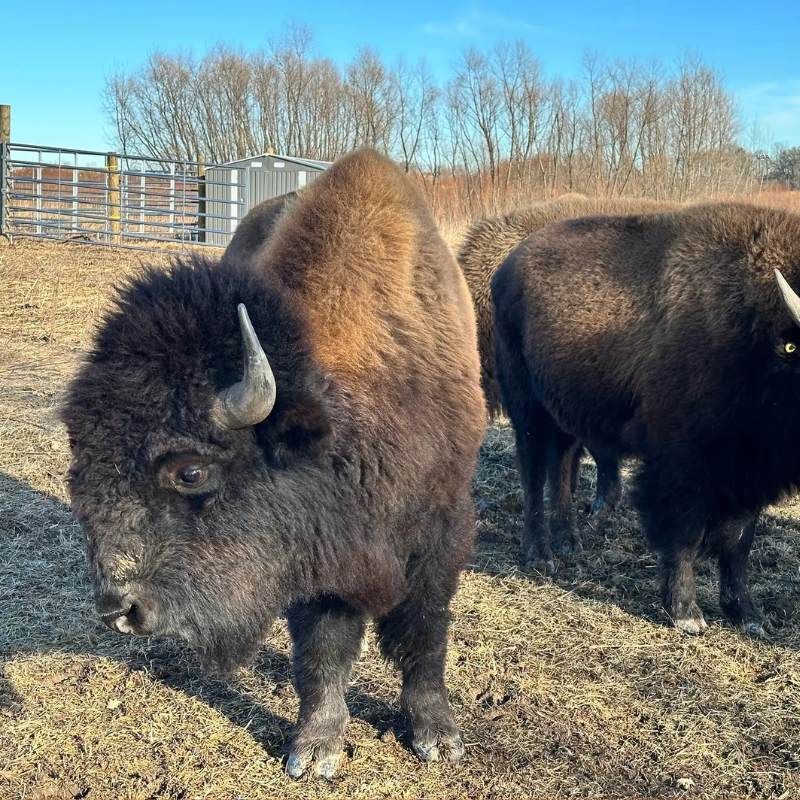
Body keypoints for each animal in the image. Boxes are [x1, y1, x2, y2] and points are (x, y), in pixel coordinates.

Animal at [62, 150, 486, 778]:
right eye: (81, 469)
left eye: (191, 471)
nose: (119, 609)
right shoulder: (315, 554)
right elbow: (323, 651)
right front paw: (314, 750)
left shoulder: (443, 528)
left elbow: (425, 633)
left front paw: (438, 736)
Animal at [492, 202, 800, 636]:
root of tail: (506, 266)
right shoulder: (682, 464)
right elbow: (684, 533)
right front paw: (687, 613)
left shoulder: (750, 473)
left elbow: (737, 541)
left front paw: (749, 617)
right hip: (527, 405)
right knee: (533, 472)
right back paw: (539, 556)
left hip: (564, 410)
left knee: (562, 465)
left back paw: (569, 541)